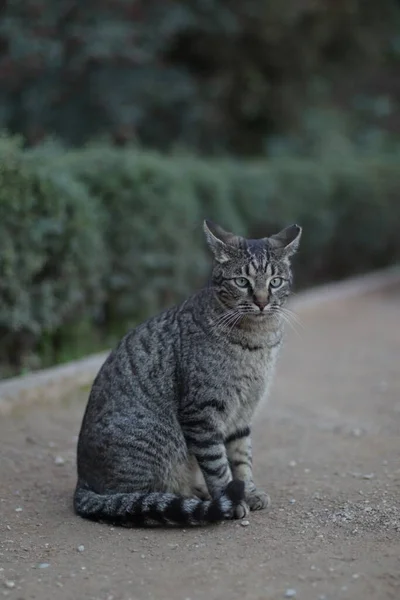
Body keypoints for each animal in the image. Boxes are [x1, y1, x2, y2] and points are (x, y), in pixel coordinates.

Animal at [73, 219, 302, 524]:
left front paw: (249, 492)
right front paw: (230, 500)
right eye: (242, 282)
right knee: (139, 498)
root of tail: (81, 481)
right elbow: (218, 465)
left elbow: (242, 459)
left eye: (275, 281)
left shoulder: (242, 414)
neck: (257, 341)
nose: (262, 302)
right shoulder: (202, 413)